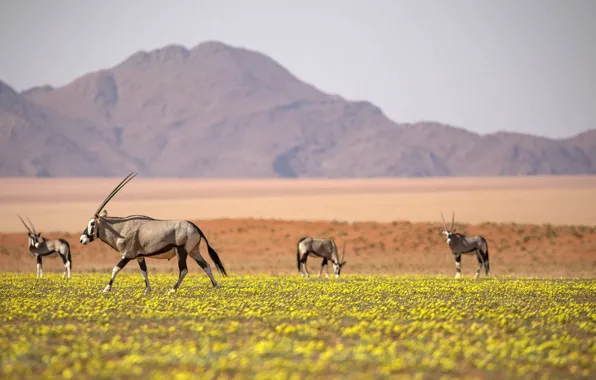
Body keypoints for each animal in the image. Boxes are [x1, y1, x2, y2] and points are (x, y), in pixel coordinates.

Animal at [79, 173, 228, 294]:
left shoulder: (127, 255)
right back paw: (215, 286)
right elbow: (144, 271)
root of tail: (194, 227)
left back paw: (172, 290)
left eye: (92, 223)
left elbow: (115, 269)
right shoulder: (139, 257)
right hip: (193, 251)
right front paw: (147, 290)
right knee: (205, 265)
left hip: (182, 251)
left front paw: (106, 289)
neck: (121, 228)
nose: (82, 239)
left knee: (184, 270)